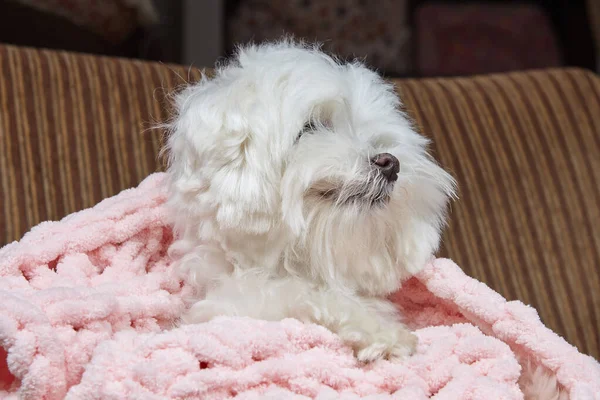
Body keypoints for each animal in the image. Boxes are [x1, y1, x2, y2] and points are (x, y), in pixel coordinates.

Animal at [163, 40, 454, 362]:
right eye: (311, 126)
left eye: (378, 136)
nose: (391, 163)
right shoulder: (227, 309)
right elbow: (295, 295)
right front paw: (379, 330)